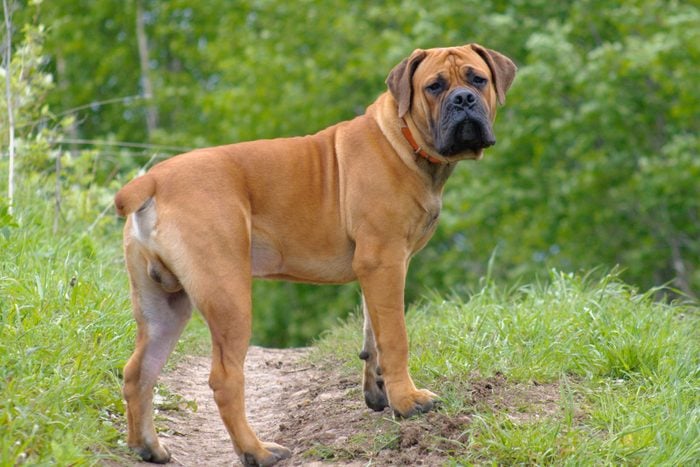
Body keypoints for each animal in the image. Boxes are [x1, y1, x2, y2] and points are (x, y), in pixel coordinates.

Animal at [116, 44, 516, 467]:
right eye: (434, 86)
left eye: (478, 79)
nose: (464, 99)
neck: (403, 140)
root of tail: (152, 181)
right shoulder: (385, 260)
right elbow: (395, 337)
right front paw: (407, 401)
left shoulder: (379, 267)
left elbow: (372, 333)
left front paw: (378, 391)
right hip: (228, 295)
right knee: (225, 379)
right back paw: (257, 450)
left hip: (164, 305)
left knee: (138, 371)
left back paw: (149, 447)